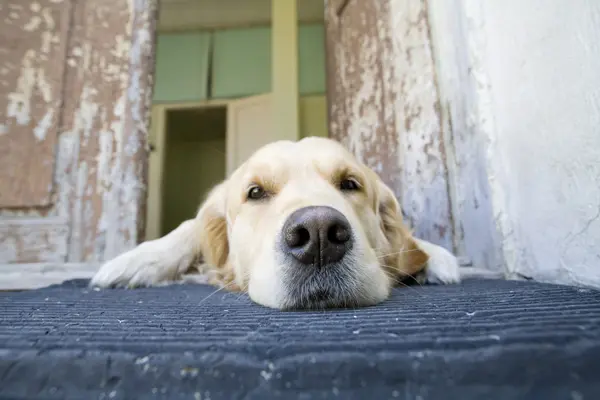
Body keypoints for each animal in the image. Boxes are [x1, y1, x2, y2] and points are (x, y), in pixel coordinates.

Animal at [91, 138, 462, 310]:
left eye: (350, 183)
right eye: (255, 192)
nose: (318, 235)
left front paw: (434, 256)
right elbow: (188, 227)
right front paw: (136, 261)